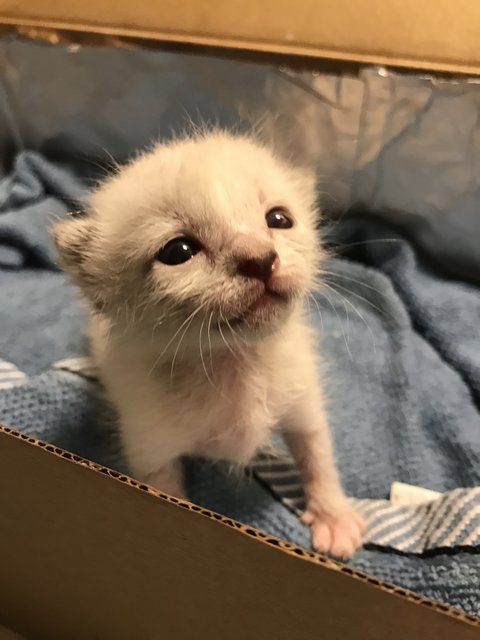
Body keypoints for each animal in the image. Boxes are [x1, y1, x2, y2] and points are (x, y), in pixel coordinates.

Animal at [52, 130, 364, 556]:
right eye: (178, 251)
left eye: (279, 219)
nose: (261, 259)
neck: (233, 359)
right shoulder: (151, 447)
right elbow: (169, 497)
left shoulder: (302, 400)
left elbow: (317, 452)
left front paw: (334, 517)